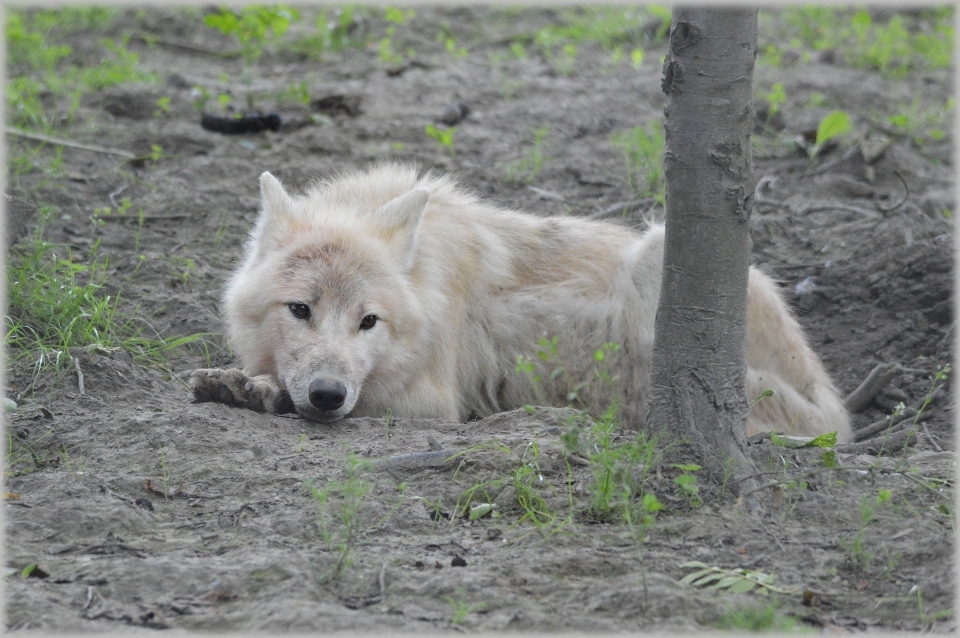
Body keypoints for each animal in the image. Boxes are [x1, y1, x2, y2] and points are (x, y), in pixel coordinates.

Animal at [191, 165, 852, 442]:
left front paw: (262, 393)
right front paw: (240, 382)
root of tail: (838, 411)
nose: (328, 395)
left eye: (368, 322)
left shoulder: (433, 402)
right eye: (300, 310)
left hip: (658, 256)